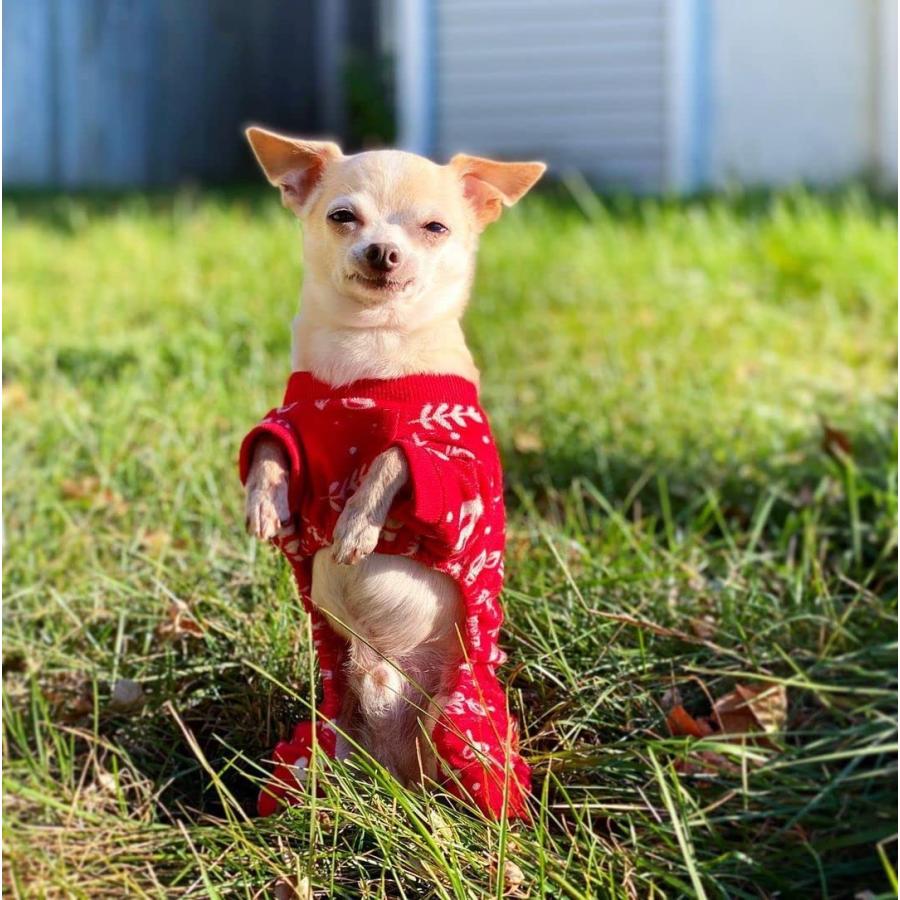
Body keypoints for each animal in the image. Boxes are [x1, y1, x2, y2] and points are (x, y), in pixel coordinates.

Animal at [239, 128, 544, 824]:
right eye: (341, 216)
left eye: (435, 227)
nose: (382, 251)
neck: (370, 362)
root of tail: (395, 769)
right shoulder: (298, 423)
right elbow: (270, 443)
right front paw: (265, 502)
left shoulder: (455, 458)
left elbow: (394, 457)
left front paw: (356, 525)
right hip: (316, 740)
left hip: (462, 728)